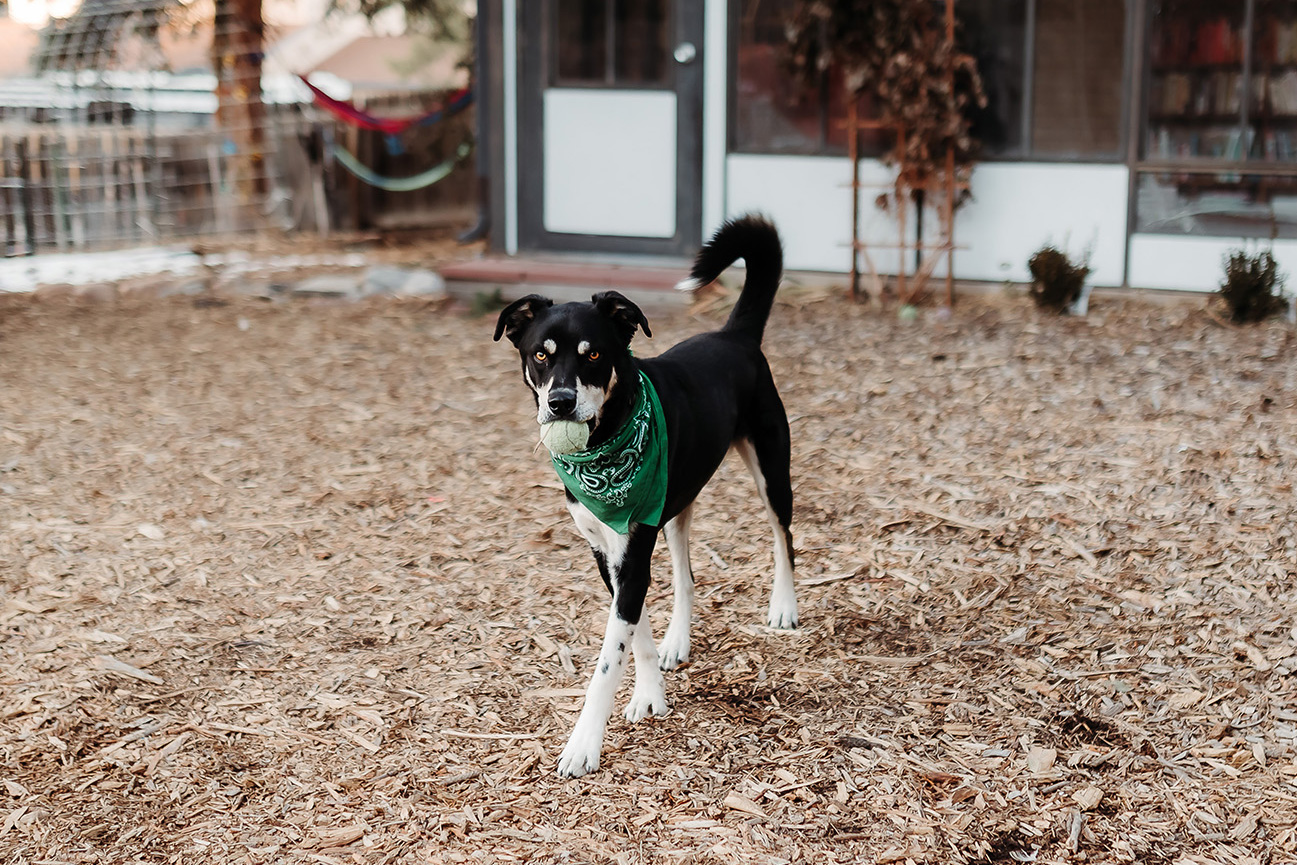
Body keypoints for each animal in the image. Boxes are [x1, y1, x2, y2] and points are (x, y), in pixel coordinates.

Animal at [492, 215, 793, 778]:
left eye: (593, 354)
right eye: (540, 354)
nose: (560, 402)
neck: (606, 443)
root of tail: (734, 334)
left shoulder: (634, 548)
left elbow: (610, 657)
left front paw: (583, 744)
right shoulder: (608, 550)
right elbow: (634, 630)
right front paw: (650, 692)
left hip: (771, 469)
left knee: (783, 537)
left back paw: (784, 606)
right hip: (677, 506)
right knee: (686, 574)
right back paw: (679, 641)